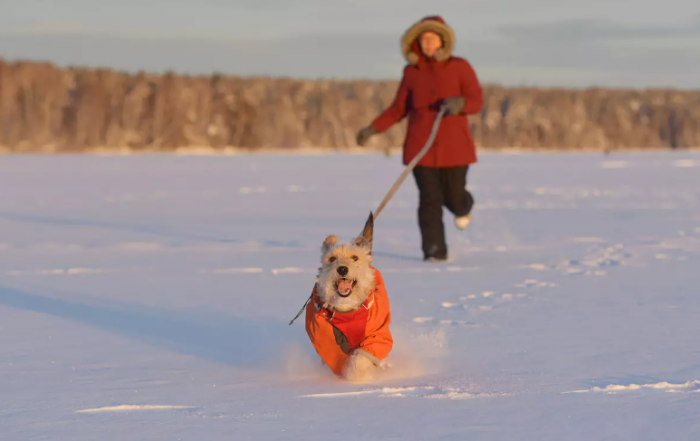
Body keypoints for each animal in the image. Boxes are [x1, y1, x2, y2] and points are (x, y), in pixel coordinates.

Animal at [304, 213, 394, 382]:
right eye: (332, 259)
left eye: (355, 257)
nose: (342, 269)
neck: (347, 311)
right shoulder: (323, 335)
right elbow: (333, 354)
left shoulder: (377, 333)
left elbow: (362, 357)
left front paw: (356, 376)